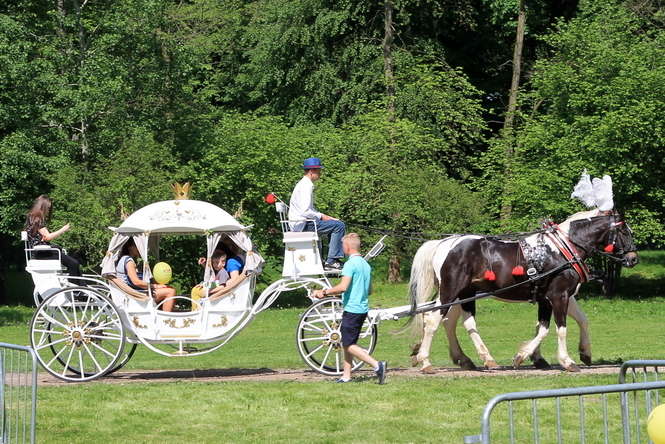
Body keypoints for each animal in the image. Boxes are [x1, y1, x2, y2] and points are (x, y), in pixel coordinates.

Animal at [408, 208, 636, 372]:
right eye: (625, 231)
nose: (633, 258)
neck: (563, 249)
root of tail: (444, 243)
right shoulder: (558, 296)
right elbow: (560, 329)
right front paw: (567, 361)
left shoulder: (551, 298)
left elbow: (556, 326)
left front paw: (580, 353)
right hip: (450, 291)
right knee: (433, 321)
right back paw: (426, 361)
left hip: (465, 293)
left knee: (460, 322)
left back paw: (478, 359)